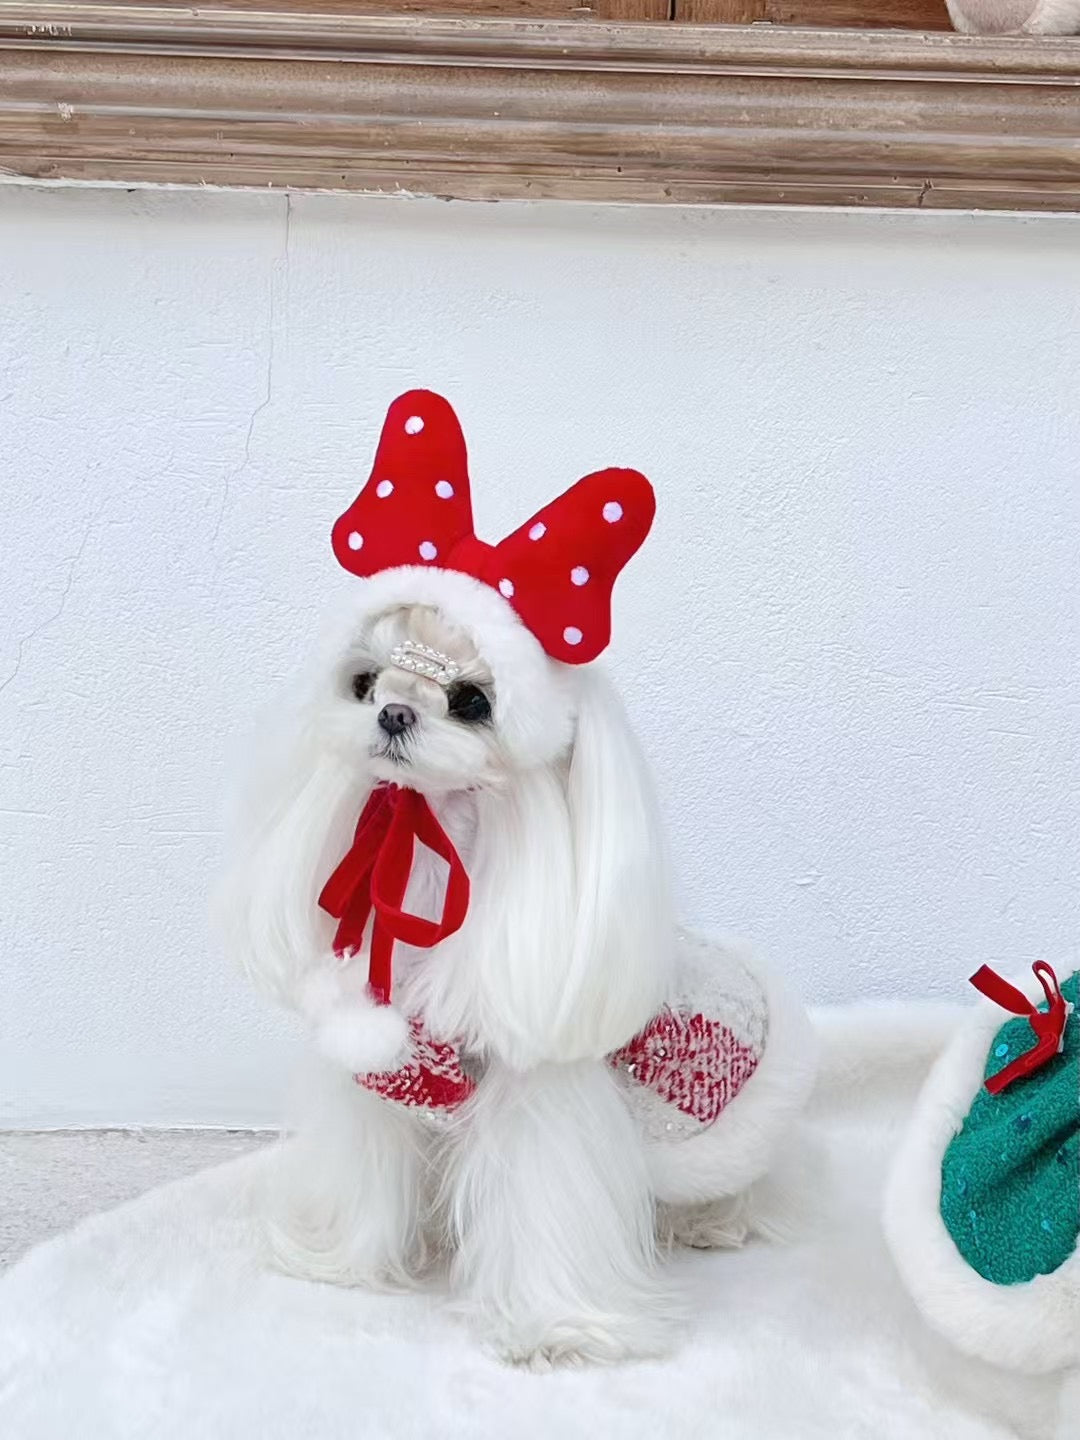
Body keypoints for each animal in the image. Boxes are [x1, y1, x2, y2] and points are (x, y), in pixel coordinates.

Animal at [224, 391, 817, 1359]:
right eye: (363, 683)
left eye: (472, 701)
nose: (394, 713)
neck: (434, 861)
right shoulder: (379, 1074)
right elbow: (366, 1166)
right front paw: (340, 1261)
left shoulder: (544, 1102)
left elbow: (546, 1210)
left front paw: (559, 1329)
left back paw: (709, 1223)